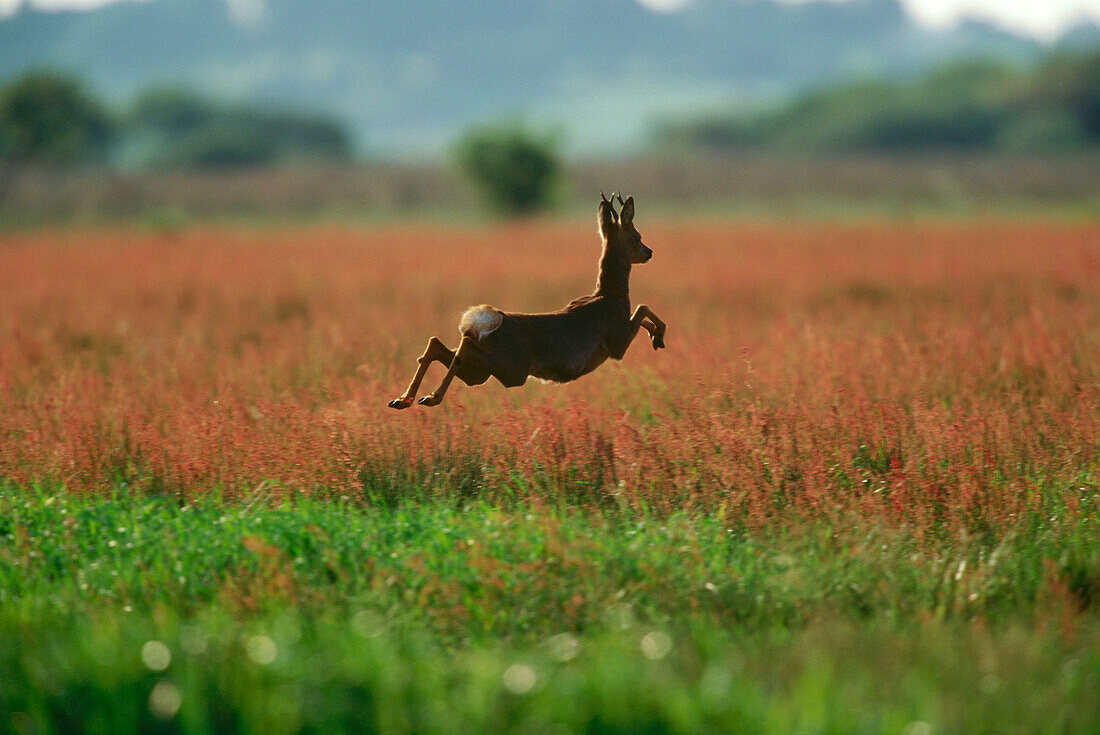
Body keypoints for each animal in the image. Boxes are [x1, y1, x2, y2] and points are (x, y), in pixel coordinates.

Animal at [391, 192, 664, 411]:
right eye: (637, 235)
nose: (649, 252)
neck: (610, 294)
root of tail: (483, 321)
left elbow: (642, 313)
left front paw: (655, 336)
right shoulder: (617, 342)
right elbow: (642, 308)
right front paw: (658, 336)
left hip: (484, 372)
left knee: (438, 344)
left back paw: (404, 400)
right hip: (513, 367)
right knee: (463, 346)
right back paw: (430, 397)